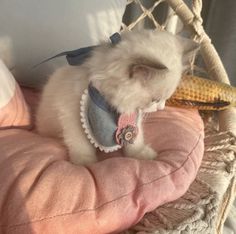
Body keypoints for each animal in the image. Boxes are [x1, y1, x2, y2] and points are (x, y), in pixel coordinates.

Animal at [36, 29, 199, 165]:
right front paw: (85, 163)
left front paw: (143, 155)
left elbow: (134, 139)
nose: (161, 108)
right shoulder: (71, 117)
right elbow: (80, 144)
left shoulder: (133, 118)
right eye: (155, 100)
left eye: (164, 99)